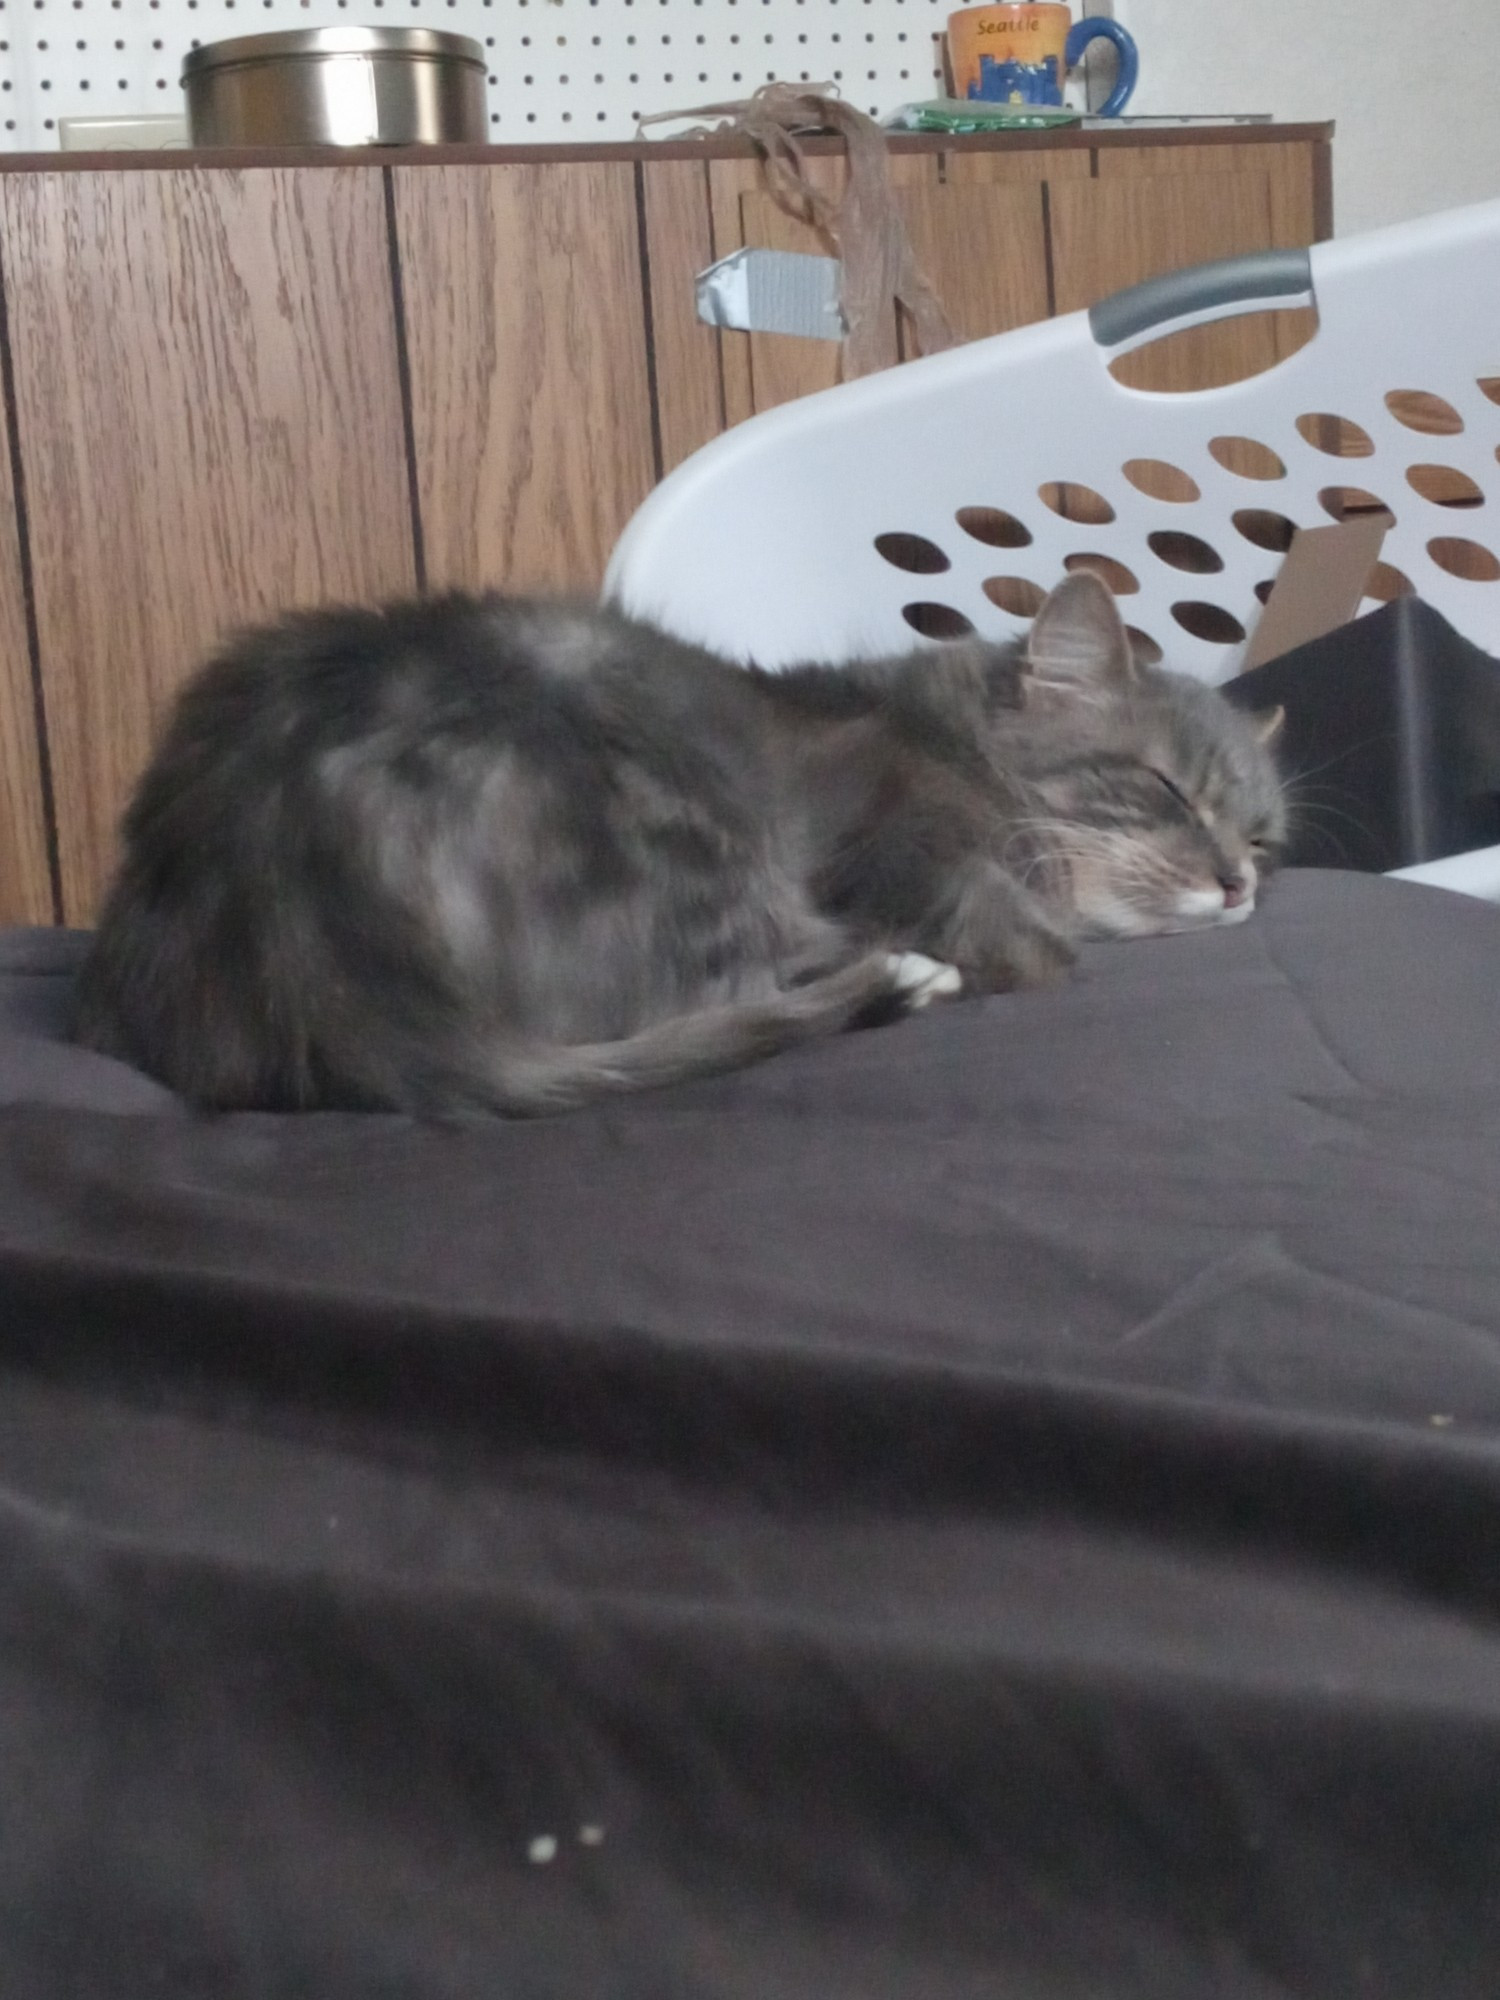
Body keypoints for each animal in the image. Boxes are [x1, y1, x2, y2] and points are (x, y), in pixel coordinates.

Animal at [73, 572, 1296, 1120]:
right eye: (1161, 790)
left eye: (1264, 837)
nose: (1238, 882)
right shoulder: (902, 835)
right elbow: (1034, 941)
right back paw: (907, 978)